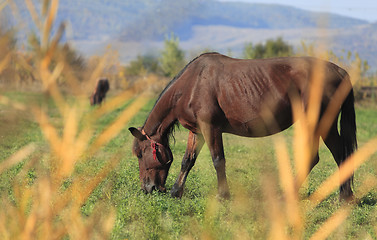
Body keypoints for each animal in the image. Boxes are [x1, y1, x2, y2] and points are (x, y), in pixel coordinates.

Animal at [129, 53, 356, 201]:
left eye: (140, 154)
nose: (147, 188)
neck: (191, 85)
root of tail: (339, 70)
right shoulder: (197, 131)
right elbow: (188, 161)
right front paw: (177, 191)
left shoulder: (210, 128)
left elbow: (218, 160)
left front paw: (223, 195)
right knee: (331, 155)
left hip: (320, 123)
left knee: (327, 155)